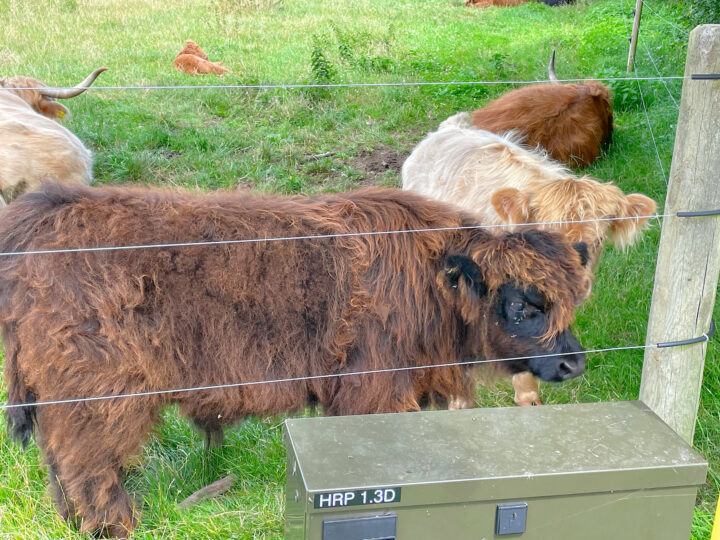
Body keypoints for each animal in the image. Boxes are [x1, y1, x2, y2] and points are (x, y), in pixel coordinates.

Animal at [1, 182, 589, 536]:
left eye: (570, 301)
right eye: (523, 305)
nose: (574, 364)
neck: (431, 279)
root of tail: (45, 216)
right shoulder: (370, 392)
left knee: (61, 467)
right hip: (101, 401)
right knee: (90, 469)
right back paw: (117, 526)